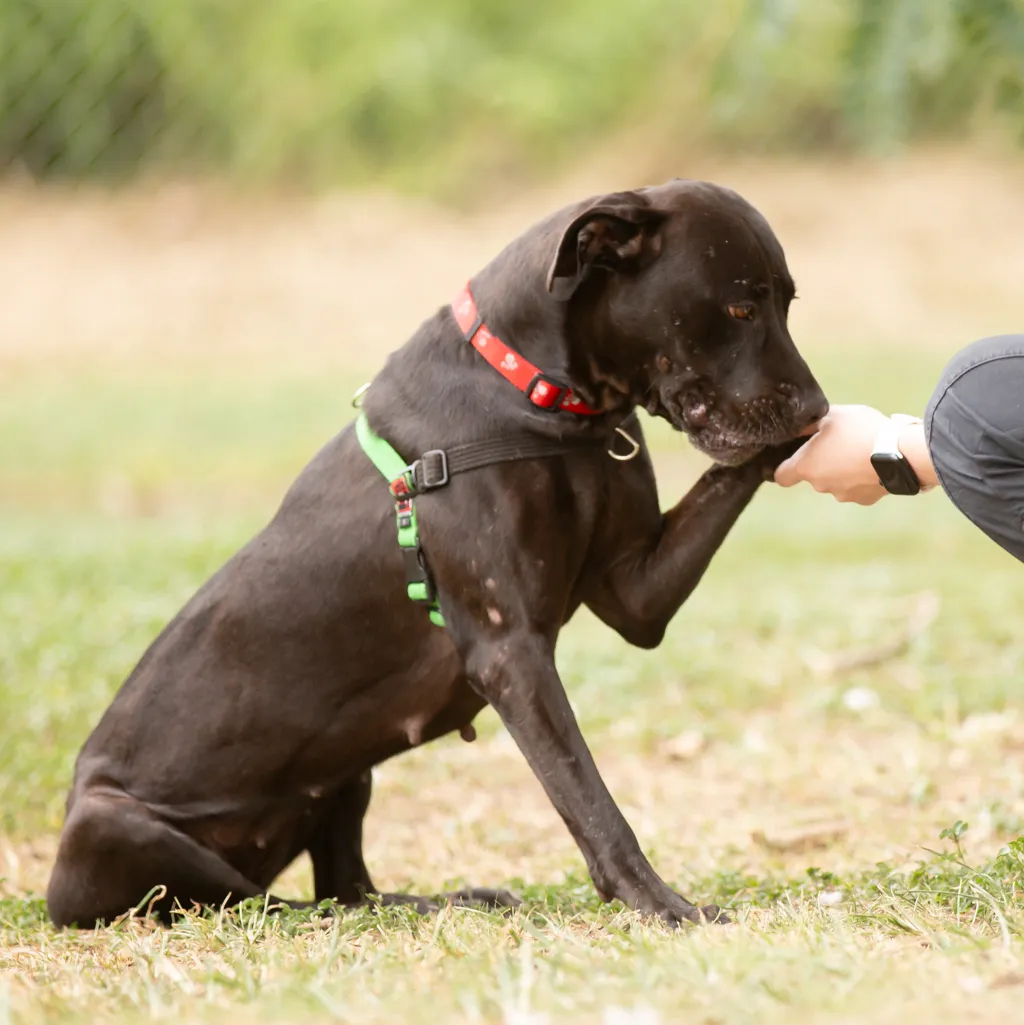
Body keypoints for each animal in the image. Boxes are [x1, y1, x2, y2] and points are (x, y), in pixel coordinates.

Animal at [48, 180, 828, 934]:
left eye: (788, 304)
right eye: (740, 306)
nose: (816, 408)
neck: (538, 394)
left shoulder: (637, 593)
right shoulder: (509, 652)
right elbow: (589, 800)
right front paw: (661, 904)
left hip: (345, 772)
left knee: (347, 888)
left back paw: (445, 902)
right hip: (120, 827)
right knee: (257, 904)